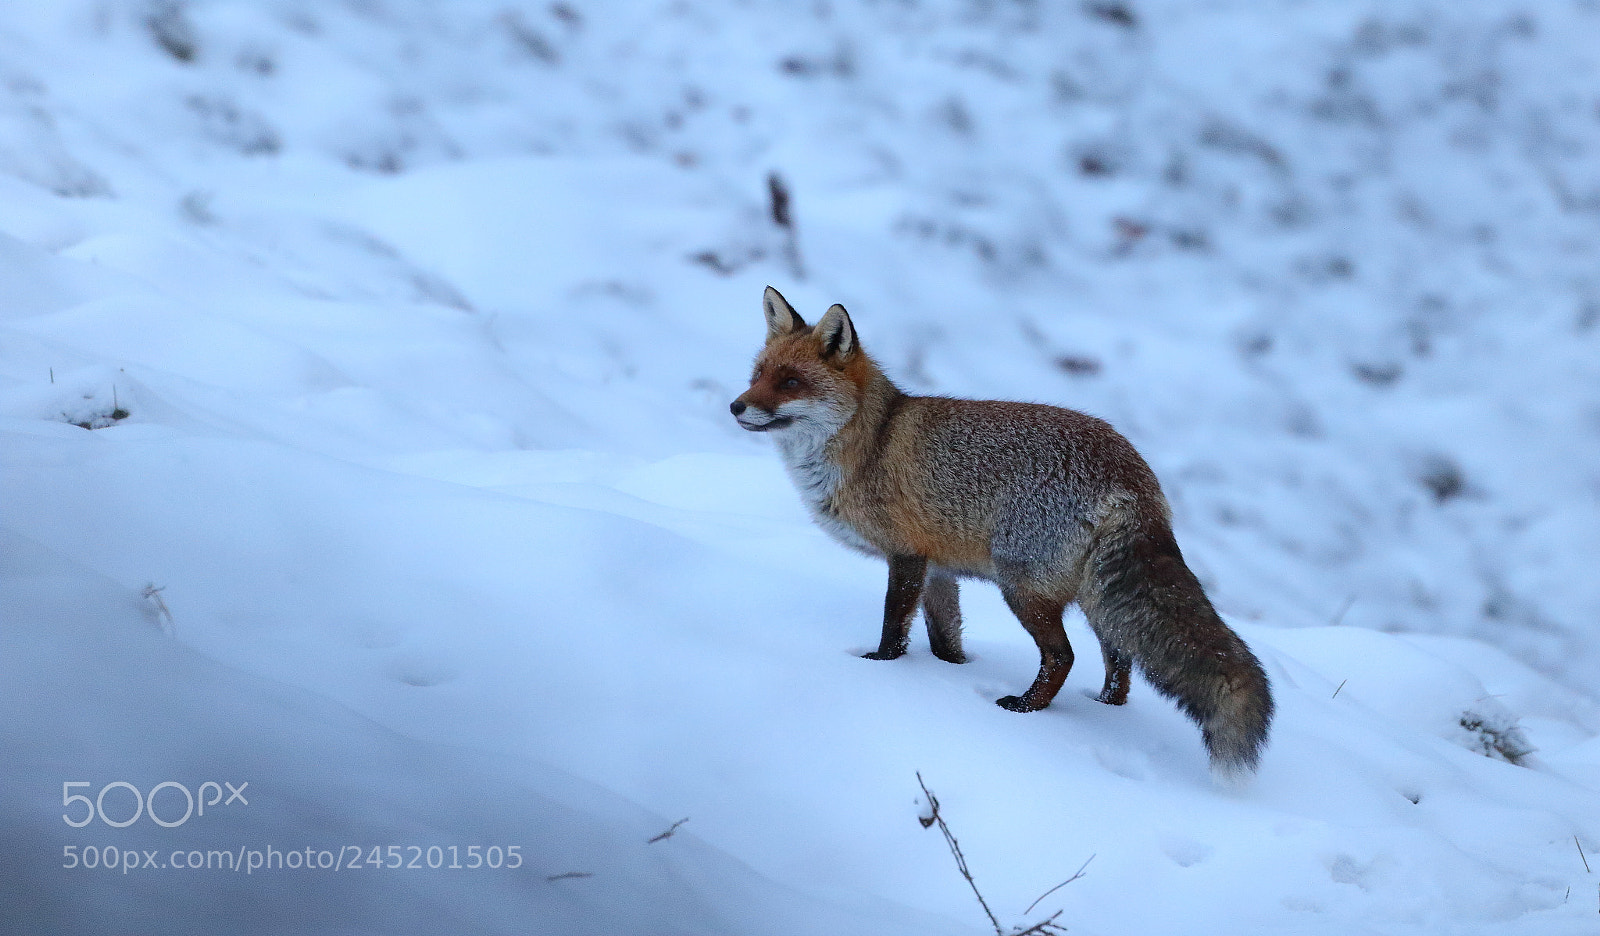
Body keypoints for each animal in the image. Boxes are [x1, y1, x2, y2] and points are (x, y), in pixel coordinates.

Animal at [730, 286, 1274, 778]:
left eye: (791, 381)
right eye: (758, 376)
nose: (736, 406)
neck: (870, 443)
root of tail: (1134, 473)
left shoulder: (906, 555)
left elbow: (894, 627)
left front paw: (881, 668)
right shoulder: (938, 569)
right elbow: (945, 640)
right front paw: (951, 674)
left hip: (1022, 587)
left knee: (1063, 656)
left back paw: (1026, 708)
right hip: (1098, 601)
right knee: (1121, 665)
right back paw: (1101, 708)